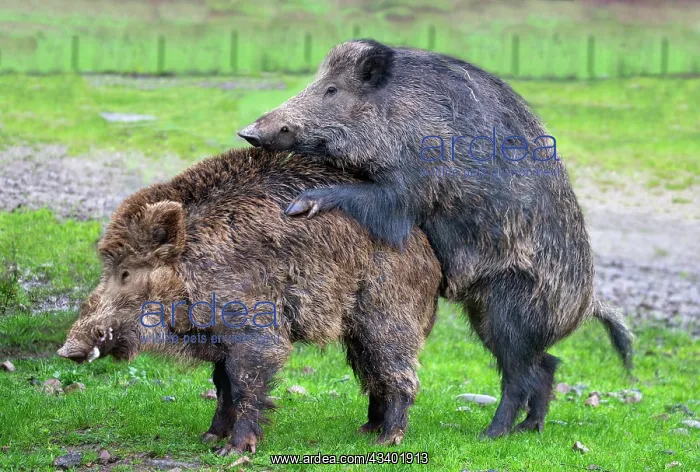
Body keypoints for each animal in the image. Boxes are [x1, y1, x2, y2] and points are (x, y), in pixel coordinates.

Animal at [57, 147, 441, 455]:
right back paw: (365, 431)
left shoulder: (252, 328)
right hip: (359, 332)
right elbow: (222, 387)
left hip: (387, 315)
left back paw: (387, 440)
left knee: (400, 373)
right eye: (107, 267)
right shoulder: (219, 340)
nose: (67, 349)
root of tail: (430, 254)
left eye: (126, 273)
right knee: (372, 372)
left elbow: (245, 385)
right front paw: (208, 438)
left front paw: (233, 451)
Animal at [238, 39, 633, 437]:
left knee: (519, 375)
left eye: (332, 90)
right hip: (485, 314)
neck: (399, 115)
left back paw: (491, 434)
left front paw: (299, 205)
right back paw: (529, 428)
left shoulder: (411, 188)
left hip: (511, 310)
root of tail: (584, 308)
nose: (248, 132)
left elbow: (381, 203)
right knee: (547, 363)